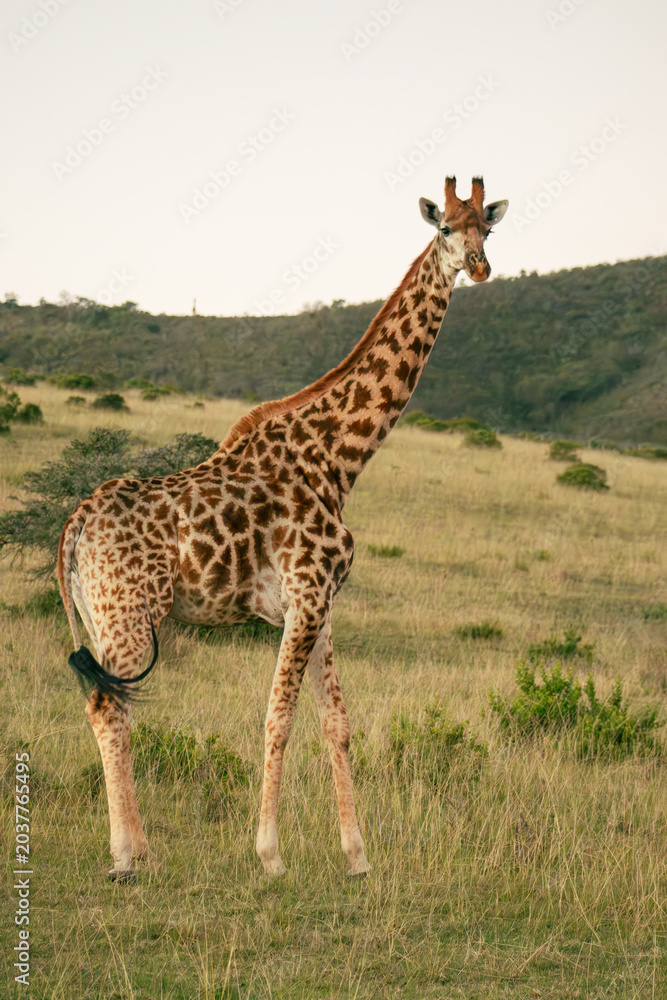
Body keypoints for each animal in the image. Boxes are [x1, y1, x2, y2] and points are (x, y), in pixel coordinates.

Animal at [58, 175, 508, 881]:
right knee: (108, 705)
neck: (340, 457)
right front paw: (269, 853)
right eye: (444, 229)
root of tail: (74, 525)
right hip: (127, 613)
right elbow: (278, 718)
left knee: (111, 703)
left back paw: (138, 847)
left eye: (486, 227)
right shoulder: (305, 593)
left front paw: (357, 856)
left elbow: (337, 722)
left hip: (101, 615)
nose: (481, 266)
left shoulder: (319, 603)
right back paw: (127, 856)